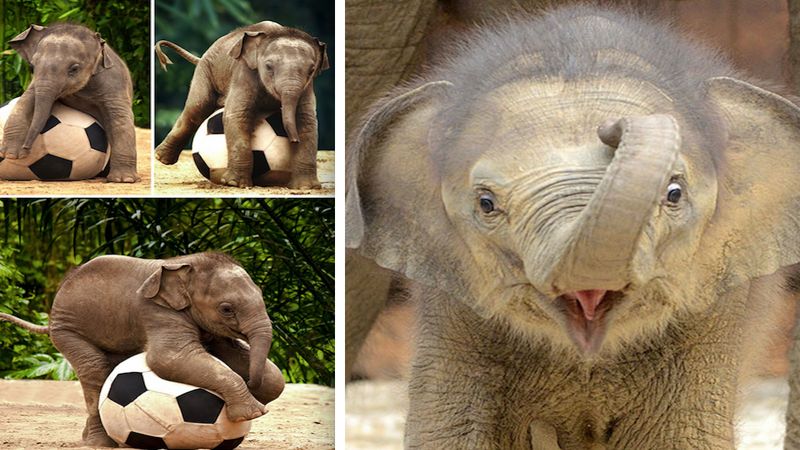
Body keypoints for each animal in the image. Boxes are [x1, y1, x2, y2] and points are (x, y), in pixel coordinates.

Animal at [0, 253, 286, 446]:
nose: (250, 382)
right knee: (95, 370)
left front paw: (259, 398)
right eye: (226, 309)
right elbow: (167, 359)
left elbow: (258, 368)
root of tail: (50, 320)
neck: (188, 264)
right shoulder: (156, 311)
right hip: (68, 330)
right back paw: (100, 444)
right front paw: (255, 411)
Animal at [1, 22, 138, 184]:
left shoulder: (113, 82)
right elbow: (27, 100)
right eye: (32, 67)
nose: (26, 149)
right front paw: (10, 155)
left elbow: (120, 120)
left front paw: (123, 180)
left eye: (74, 69)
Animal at [155, 21, 330, 189]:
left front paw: (306, 187)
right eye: (268, 66)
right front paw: (234, 184)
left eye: (311, 70)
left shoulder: (307, 86)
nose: (293, 141)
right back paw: (161, 158)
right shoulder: (244, 71)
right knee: (196, 110)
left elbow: (306, 120)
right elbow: (237, 115)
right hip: (205, 71)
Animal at [346, 4, 800, 450]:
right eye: (487, 204)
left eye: (673, 193)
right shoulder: (453, 309)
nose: (613, 127)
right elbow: (450, 431)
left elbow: (679, 436)